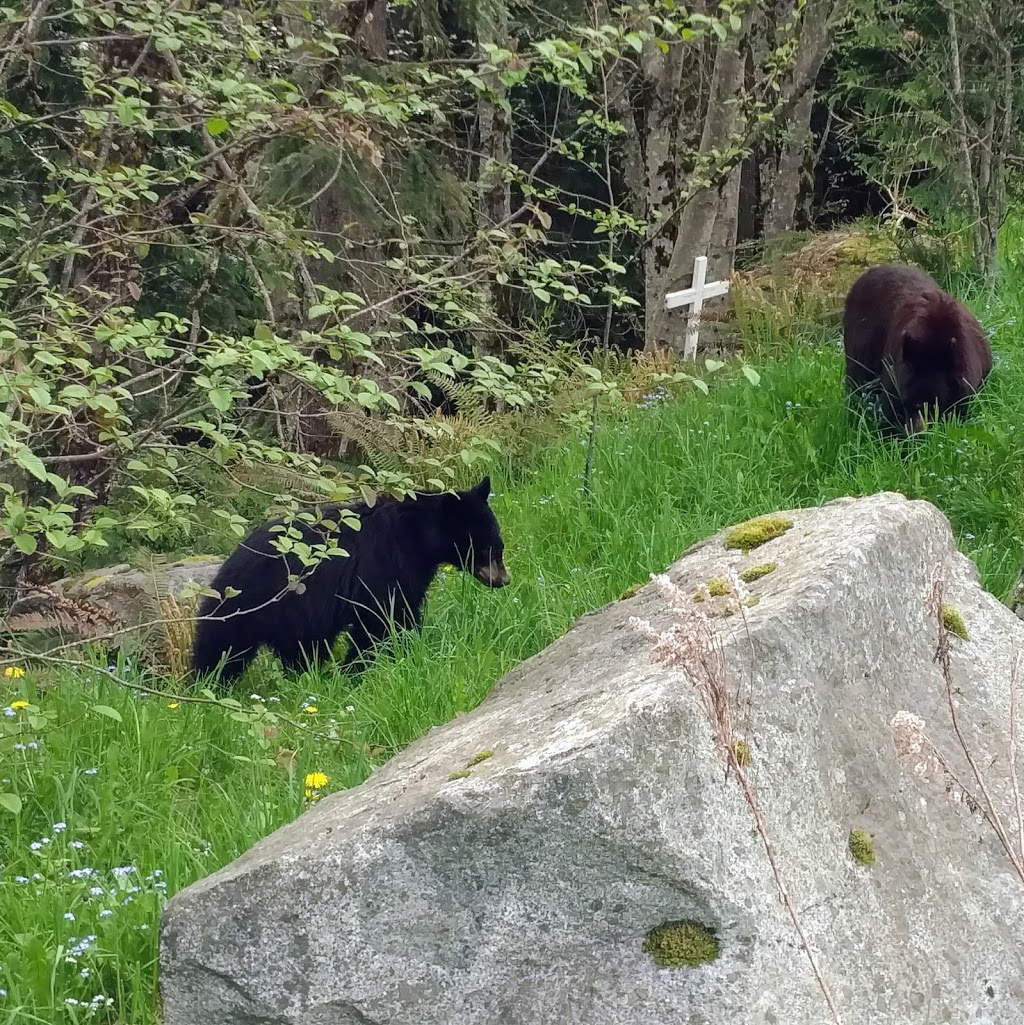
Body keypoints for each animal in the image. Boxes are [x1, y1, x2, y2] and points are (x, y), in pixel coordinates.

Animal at [188, 475, 508, 684]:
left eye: (499, 546)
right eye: (489, 549)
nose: (504, 579)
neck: (418, 537)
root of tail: (228, 566)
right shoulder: (387, 565)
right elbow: (386, 618)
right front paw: (364, 667)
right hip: (256, 605)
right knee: (222, 647)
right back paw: (207, 684)